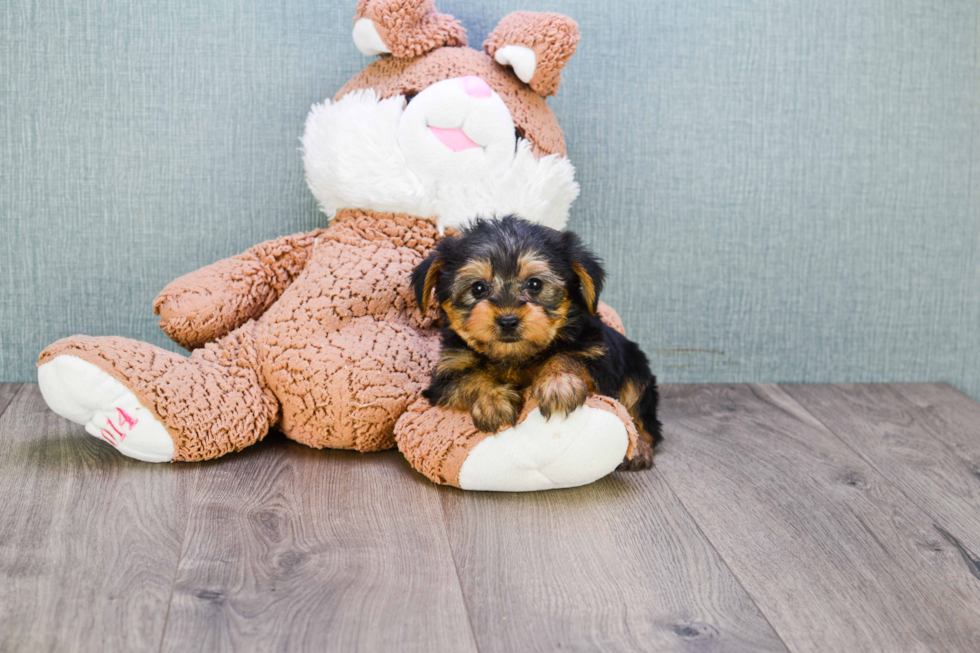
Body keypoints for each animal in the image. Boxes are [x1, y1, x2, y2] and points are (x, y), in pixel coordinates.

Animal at [410, 215, 664, 468]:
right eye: (478, 288)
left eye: (535, 284)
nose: (508, 320)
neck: (514, 356)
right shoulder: (446, 374)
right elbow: (468, 378)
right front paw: (492, 399)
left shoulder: (596, 356)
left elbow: (568, 356)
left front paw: (559, 382)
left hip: (636, 370)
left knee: (641, 412)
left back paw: (639, 449)